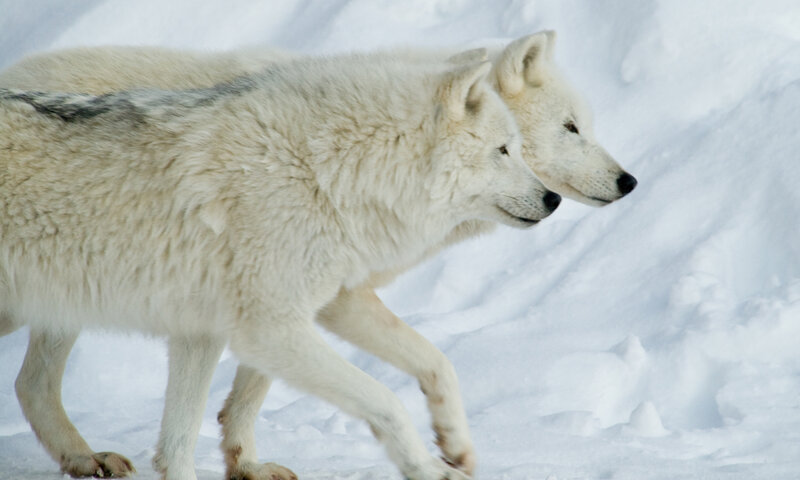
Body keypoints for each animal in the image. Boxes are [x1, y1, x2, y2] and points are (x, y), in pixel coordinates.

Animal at [0, 31, 635, 480]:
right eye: (570, 129)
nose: (628, 181)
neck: (333, 167)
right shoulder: (291, 313)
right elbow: (380, 394)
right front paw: (434, 462)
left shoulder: (250, 315)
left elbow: (429, 362)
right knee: (32, 384)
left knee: (31, 385)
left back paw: (85, 459)